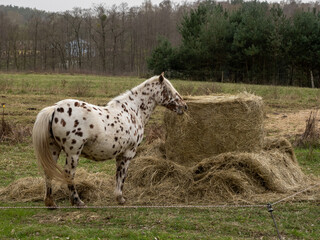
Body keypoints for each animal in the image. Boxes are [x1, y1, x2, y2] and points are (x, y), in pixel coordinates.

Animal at [31, 73, 188, 208]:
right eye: (169, 89)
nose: (184, 106)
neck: (133, 111)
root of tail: (54, 109)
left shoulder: (120, 154)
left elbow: (118, 174)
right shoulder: (128, 153)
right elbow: (122, 175)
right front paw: (120, 198)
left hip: (53, 149)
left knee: (49, 172)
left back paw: (51, 203)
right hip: (73, 152)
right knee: (69, 174)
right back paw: (77, 201)